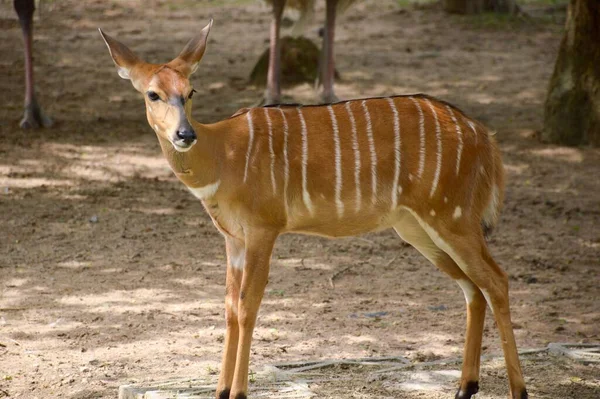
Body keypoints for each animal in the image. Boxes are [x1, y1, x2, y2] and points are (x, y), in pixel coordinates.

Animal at [99, 20, 528, 399]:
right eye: (153, 94)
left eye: (191, 91)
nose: (184, 134)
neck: (223, 155)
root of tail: (484, 136)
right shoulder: (233, 239)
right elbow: (228, 308)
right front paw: (220, 391)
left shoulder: (264, 228)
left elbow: (248, 306)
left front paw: (238, 392)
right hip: (418, 227)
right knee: (472, 288)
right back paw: (464, 387)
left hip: (452, 218)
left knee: (497, 280)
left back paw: (518, 390)